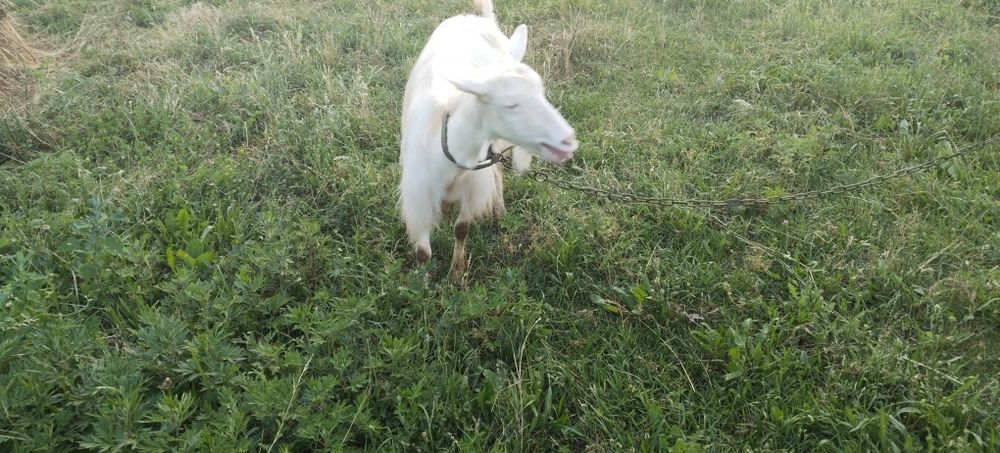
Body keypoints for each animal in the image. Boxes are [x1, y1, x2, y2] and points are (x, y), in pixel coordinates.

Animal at [399, 0, 578, 279]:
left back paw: (499, 209)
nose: (568, 141)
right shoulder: (419, 195)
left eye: (541, 92)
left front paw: (456, 274)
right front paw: (423, 282)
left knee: (497, 172)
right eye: (510, 105)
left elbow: (462, 228)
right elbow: (423, 252)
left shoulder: (474, 183)